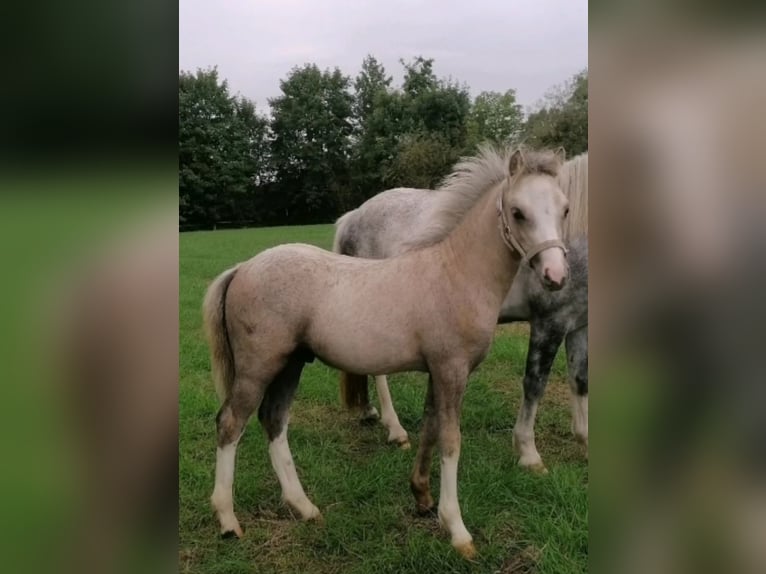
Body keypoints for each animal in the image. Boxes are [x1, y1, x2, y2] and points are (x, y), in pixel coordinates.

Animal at [332, 151, 592, 474]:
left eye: (565, 209)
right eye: (518, 213)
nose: (556, 276)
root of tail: (353, 216)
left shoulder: (578, 325)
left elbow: (580, 381)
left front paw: (585, 443)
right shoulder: (549, 323)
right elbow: (534, 385)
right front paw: (529, 454)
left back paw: (369, 412)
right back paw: (395, 429)